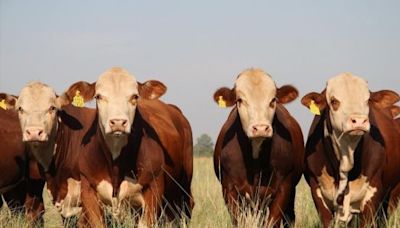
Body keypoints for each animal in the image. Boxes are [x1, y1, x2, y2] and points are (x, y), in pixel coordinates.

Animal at [61, 67, 194, 227]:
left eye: (135, 96)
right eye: (98, 96)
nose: (118, 122)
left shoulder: (153, 188)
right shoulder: (88, 189)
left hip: (183, 185)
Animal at [212, 68, 304, 227]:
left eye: (273, 100)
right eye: (239, 100)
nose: (260, 128)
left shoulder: (283, 188)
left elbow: (272, 221)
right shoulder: (229, 190)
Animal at [302, 73, 400, 226]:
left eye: (367, 100)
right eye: (334, 101)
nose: (359, 121)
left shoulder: (372, 194)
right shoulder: (317, 193)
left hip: (394, 192)